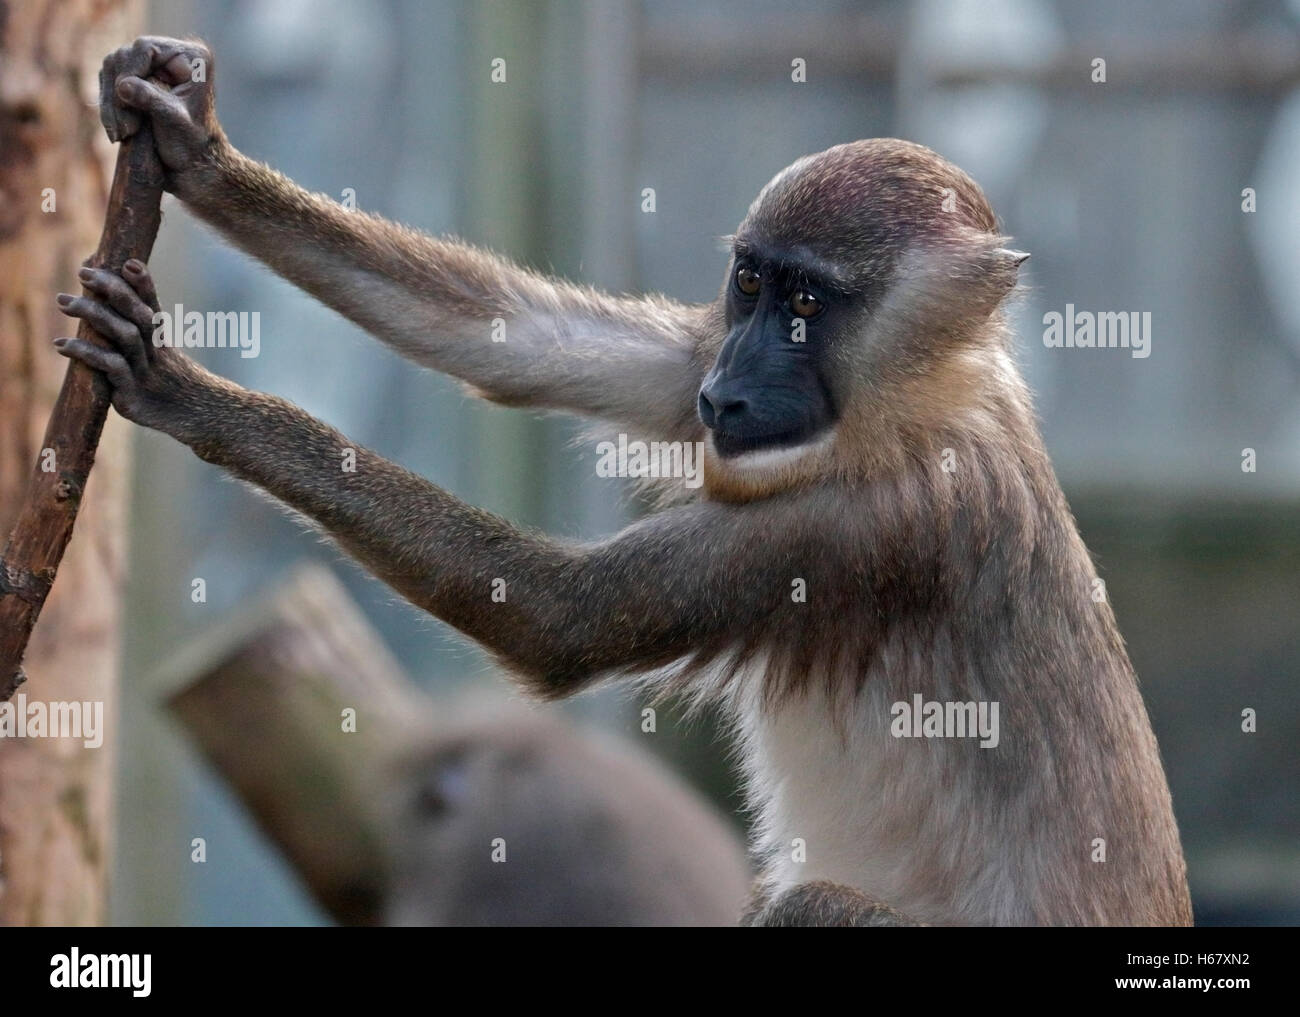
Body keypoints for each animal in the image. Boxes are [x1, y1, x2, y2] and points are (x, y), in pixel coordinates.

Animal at [61, 37, 1196, 931]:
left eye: (809, 305)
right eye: (753, 282)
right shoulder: (714, 367)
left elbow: (558, 617)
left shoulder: (870, 528)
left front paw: (187, 394)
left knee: (809, 907)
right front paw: (192, 145)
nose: (729, 389)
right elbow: (515, 341)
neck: (921, 403)